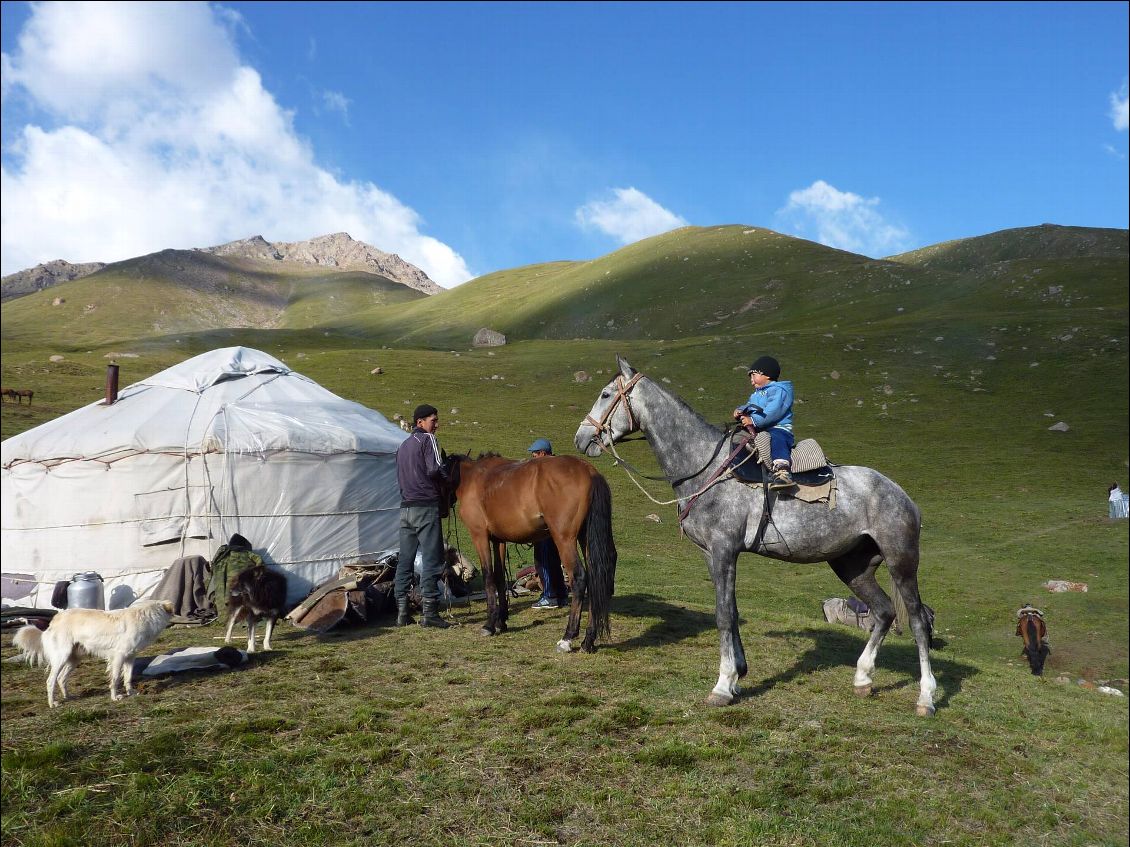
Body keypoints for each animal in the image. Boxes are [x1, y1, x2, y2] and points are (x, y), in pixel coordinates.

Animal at [11, 600, 174, 713]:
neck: (145, 616)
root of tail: (53, 620)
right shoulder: (119, 656)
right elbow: (115, 679)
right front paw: (115, 697)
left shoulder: (130, 657)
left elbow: (127, 678)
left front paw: (131, 693)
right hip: (61, 657)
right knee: (51, 681)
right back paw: (53, 703)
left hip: (74, 659)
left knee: (61, 678)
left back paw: (68, 697)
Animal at [440, 453, 619, 655]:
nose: (441, 511)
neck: (473, 477)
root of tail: (588, 470)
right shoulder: (498, 540)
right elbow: (499, 577)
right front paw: (501, 621)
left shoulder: (480, 536)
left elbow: (488, 577)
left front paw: (489, 625)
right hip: (586, 537)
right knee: (598, 578)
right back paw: (588, 641)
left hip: (564, 539)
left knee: (580, 578)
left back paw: (568, 637)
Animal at [574, 356, 935, 718]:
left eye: (606, 394)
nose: (581, 438)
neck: (706, 469)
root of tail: (903, 495)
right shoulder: (712, 554)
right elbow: (731, 611)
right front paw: (737, 676)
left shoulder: (724, 551)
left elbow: (722, 614)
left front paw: (722, 685)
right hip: (853, 567)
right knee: (884, 611)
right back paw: (862, 679)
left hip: (901, 561)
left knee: (918, 621)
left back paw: (926, 698)